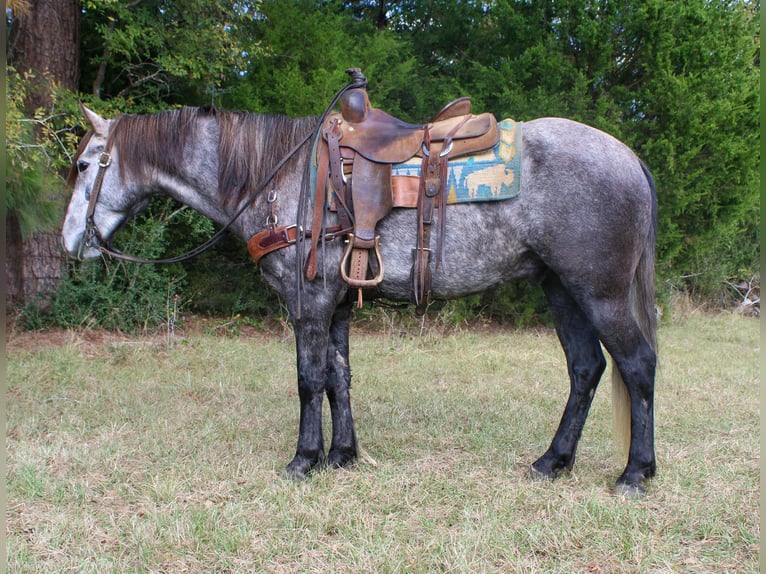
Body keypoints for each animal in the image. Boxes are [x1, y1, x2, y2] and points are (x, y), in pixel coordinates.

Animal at [61, 99, 658, 495]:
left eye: (86, 165)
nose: (70, 244)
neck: (280, 177)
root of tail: (629, 157)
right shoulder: (338, 304)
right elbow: (337, 377)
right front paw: (342, 455)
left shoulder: (308, 300)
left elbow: (308, 379)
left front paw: (304, 459)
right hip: (563, 291)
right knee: (586, 369)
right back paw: (553, 461)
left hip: (599, 293)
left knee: (638, 365)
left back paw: (635, 473)